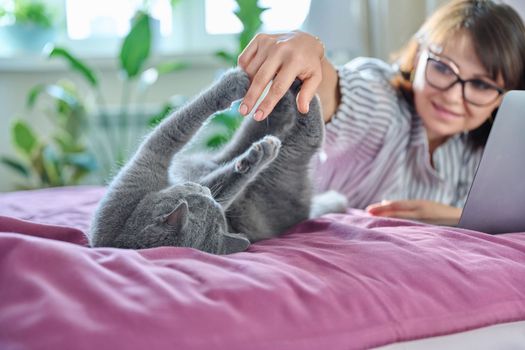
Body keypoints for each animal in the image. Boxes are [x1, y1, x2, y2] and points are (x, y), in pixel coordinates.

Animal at [90, 69, 344, 254]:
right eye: (195, 193)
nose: (205, 189)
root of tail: (306, 209)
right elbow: (228, 180)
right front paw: (259, 156)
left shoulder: (150, 157)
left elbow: (178, 126)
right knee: (275, 125)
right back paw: (289, 89)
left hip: (284, 157)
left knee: (306, 133)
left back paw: (293, 87)